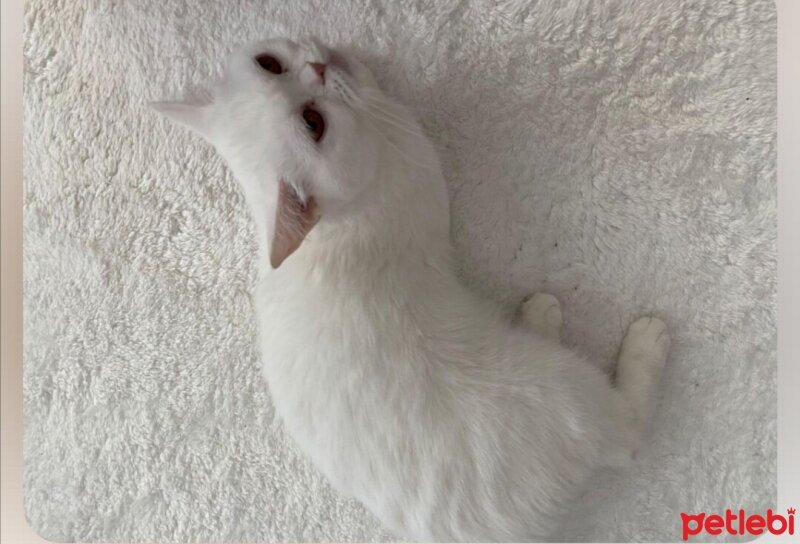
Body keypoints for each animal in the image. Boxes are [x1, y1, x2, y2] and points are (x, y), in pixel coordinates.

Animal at [152, 37, 668, 540]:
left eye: (269, 63)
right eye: (313, 124)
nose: (318, 69)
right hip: (563, 387)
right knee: (630, 432)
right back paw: (617, 333)